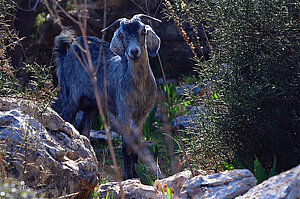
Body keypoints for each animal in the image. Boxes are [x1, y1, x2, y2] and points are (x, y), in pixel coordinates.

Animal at [54, 14, 162, 179]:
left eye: (143, 31)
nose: (134, 52)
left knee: (84, 130)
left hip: (93, 106)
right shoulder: (124, 112)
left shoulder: (142, 114)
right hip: (70, 97)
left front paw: (135, 174)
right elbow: (126, 146)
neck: (138, 87)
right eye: (121, 34)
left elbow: (136, 144)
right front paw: (128, 176)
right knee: (66, 119)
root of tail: (68, 50)